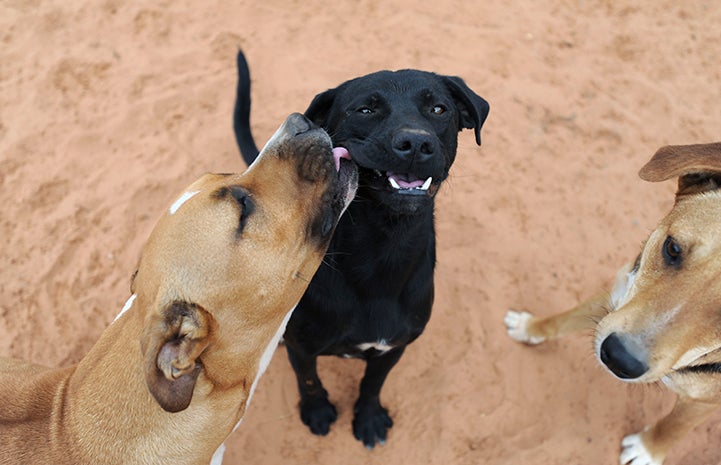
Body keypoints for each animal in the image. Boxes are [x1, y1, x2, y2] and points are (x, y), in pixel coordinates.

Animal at [233, 49, 486, 446]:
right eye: (365, 109)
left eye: (439, 109)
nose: (416, 144)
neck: (383, 248)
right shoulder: (302, 346)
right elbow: (309, 380)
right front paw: (317, 411)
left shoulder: (393, 348)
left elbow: (372, 383)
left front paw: (368, 418)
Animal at [504, 142, 720, 464]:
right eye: (672, 248)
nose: (619, 358)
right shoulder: (616, 298)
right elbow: (561, 321)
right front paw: (529, 327)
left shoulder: (703, 402)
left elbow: (675, 425)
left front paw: (647, 450)